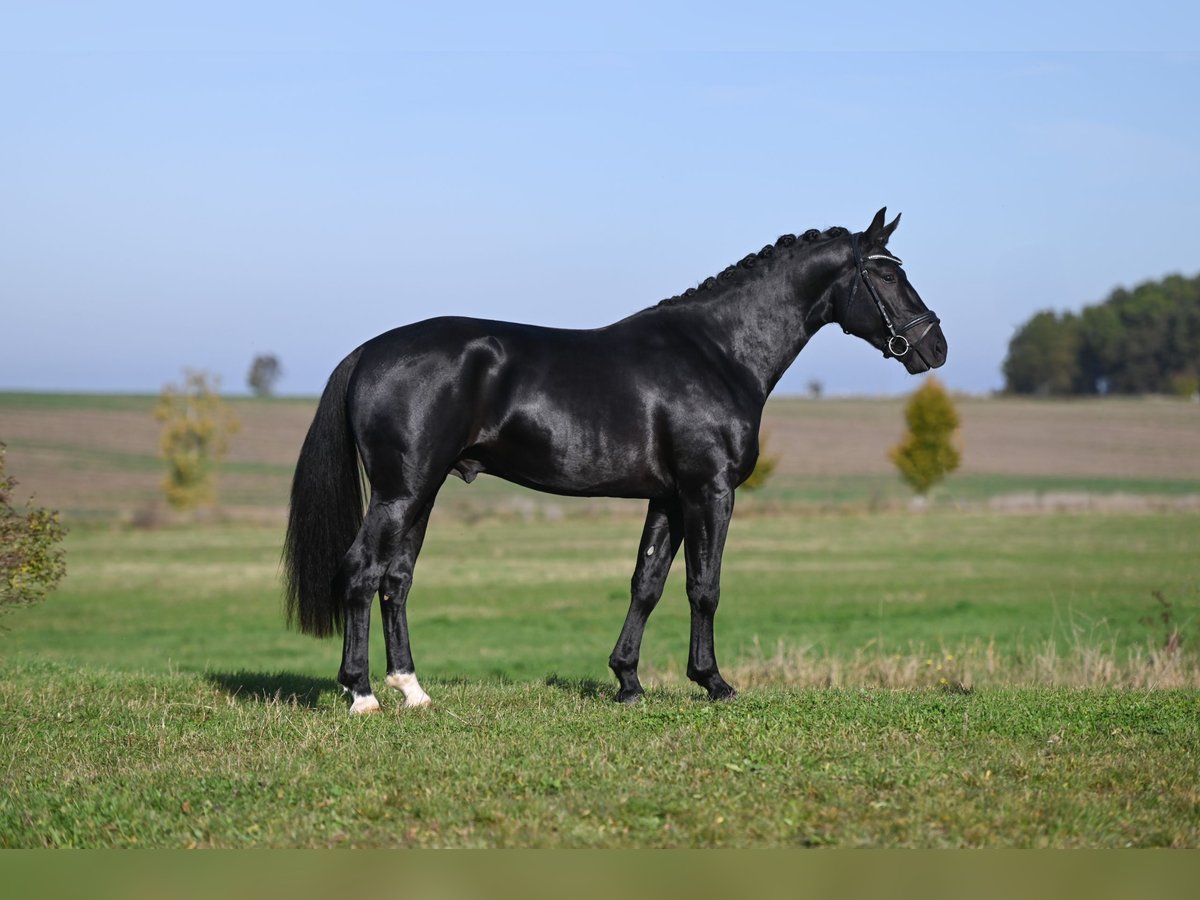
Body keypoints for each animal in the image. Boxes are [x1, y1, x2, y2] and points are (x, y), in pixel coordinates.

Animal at [283, 207, 945, 715]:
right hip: (401, 493)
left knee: (396, 580)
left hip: (422, 492)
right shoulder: (709, 490)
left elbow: (646, 584)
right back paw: (362, 695)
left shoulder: (669, 497)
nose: (934, 346)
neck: (717, 352)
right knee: (361, 573)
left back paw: (413, 691)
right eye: (884, 275)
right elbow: (704, 586)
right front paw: (714, 683)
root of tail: (370, 351)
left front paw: (627, 681)